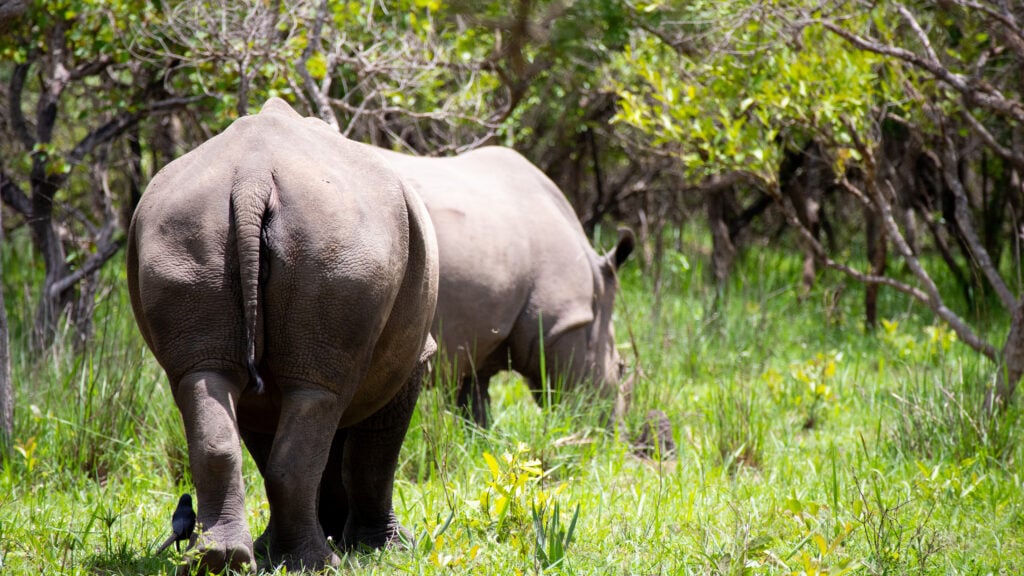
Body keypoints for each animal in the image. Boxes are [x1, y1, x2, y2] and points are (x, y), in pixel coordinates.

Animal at [127, 98, 438, 572]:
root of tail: (251, 179)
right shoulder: (412, 357)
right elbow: (373, 457)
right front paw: (387, 547)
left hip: (183, 232)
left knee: (207, 380)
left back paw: (224, 560)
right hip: (337, 236)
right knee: (318, 397)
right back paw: (316, 562)